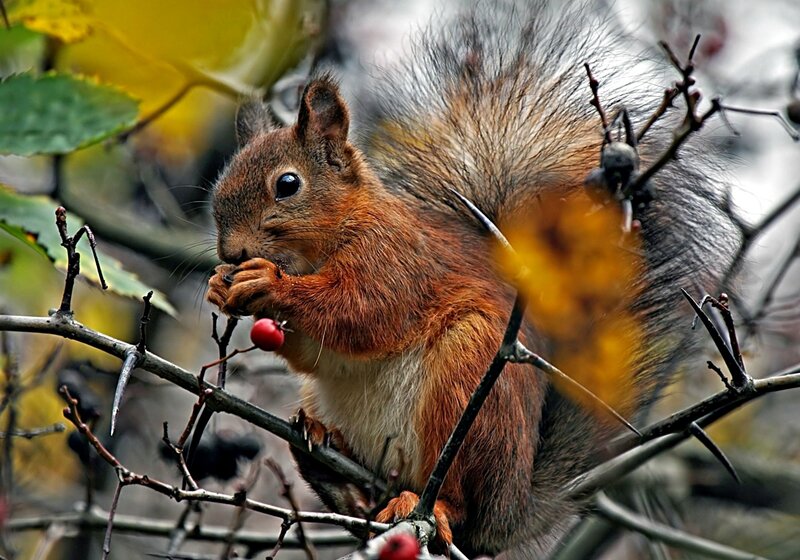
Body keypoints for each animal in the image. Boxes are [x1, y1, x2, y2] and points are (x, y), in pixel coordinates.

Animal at [206, 2, 739, 557]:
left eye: (287, 184)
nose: (231, 253)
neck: (333, 236)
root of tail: (511, 510)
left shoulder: (397, 260)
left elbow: (361, 313)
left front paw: (268, 283)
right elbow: (315, 352)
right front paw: (222, 286)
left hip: (471, 381)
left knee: (458, 498)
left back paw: (429, 505)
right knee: (365, 498)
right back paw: (332, 464)